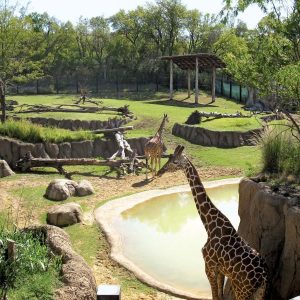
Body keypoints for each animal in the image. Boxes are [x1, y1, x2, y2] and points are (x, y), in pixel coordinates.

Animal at [157, 145, 270, 298]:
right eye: (168, 157)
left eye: (175, 162)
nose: (160, 171)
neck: (209, 226)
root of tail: (263, 275)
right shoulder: (221, 270)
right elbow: (220, 295)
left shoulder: (209, 266)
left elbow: (215, 295)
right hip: (259, 291)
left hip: (241, 289)